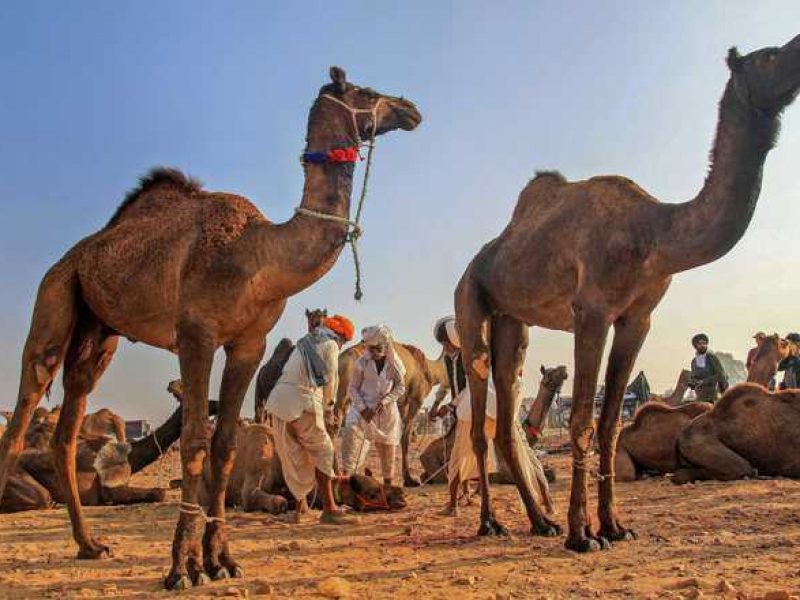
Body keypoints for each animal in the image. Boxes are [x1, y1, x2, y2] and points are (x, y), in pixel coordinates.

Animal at [454, 36, 800, 552]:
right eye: (769, 56)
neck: (655, 233)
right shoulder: (592, 310)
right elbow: (580, 419)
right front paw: (582, 535)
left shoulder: (638, 317)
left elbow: (611, 423)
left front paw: (614, 526)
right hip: (470, 299)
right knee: (479, 412)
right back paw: (490, 523)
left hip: (513, 320)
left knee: (507, 395)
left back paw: (540, 521)